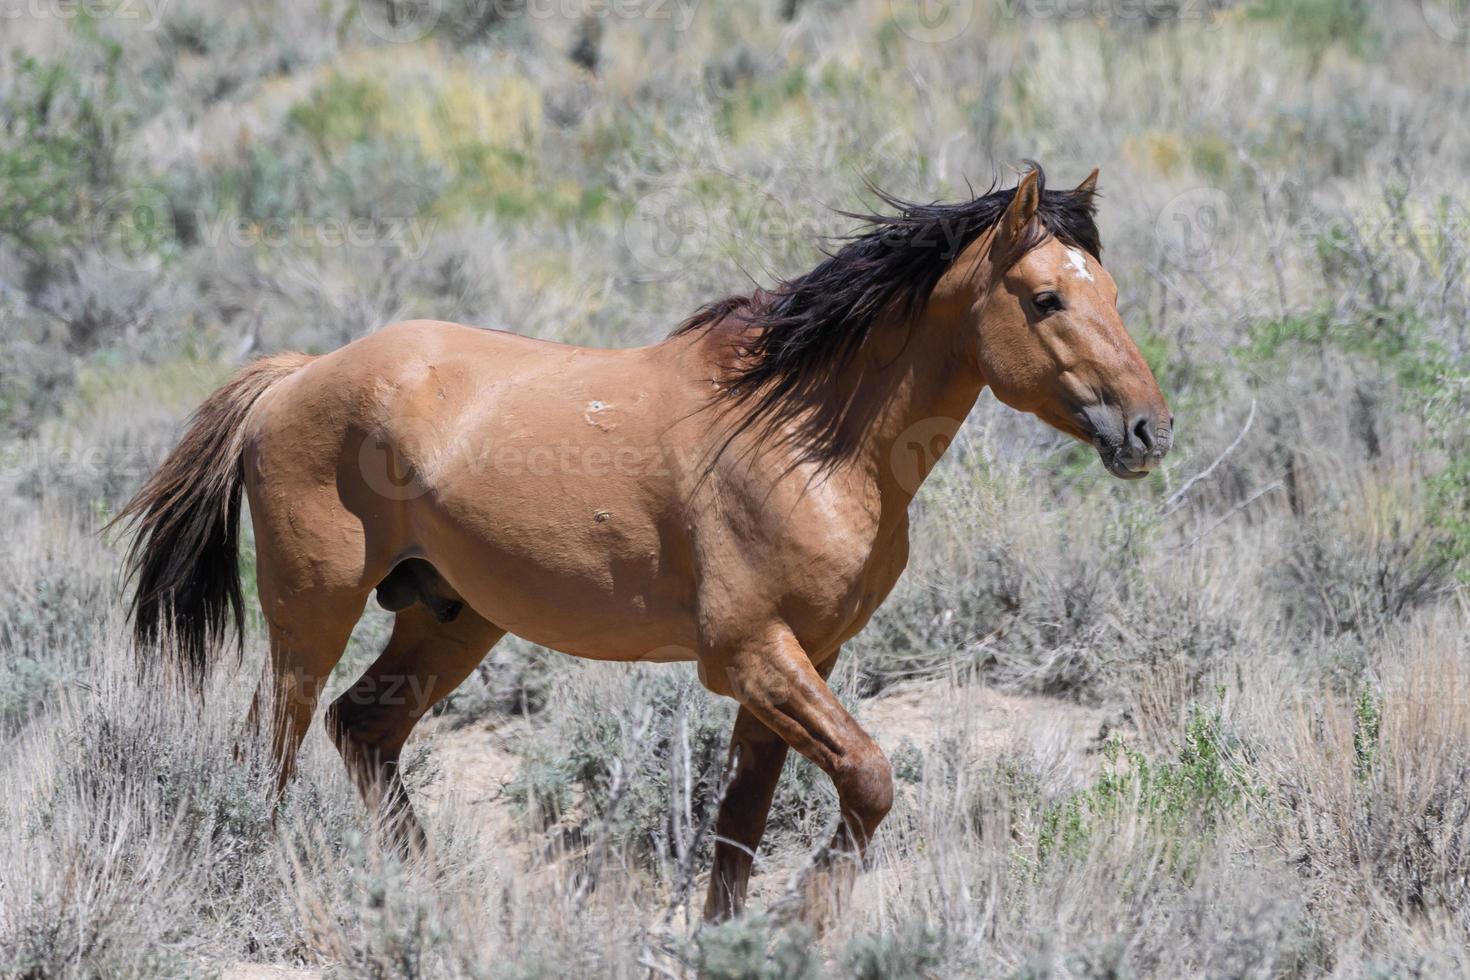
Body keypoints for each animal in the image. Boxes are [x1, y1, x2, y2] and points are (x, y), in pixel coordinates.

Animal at [111, 166, 1170, 922]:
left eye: (1114, 290)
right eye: (1046, 299)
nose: (1149, 430)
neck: (807, 436)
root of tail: (298, 376)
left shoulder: (804, 659)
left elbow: (742, 824)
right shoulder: (750, 655)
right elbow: (869, 781)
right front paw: (805, 916)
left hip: (450, 619)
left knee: (361, 732)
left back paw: (440, 901)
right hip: (312, 611)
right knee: (269, 748)